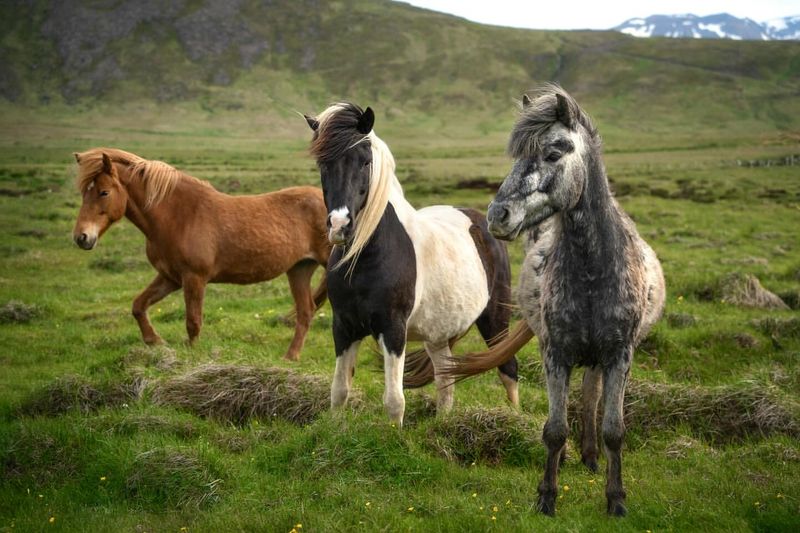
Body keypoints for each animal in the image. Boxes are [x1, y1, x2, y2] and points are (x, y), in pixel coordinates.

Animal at [71, 148, 328, 360]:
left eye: (104, 192)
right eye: (84, 192)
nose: (81, 237)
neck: (180, 216)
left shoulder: (194, 278)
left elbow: (193, 322)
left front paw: (194, 355)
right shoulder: (170, 277)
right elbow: (138, 306)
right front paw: (155, 341)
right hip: (299, 269)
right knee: (306, 312)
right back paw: (290, 357)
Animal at [304, 104, 520, 426]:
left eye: (365, 162)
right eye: (323, 164)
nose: (340, 226)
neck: (365, 257)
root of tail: (482, 222)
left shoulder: (393, 329)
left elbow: (394, 400)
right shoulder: (343, 326)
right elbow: (339, 391)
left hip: (495, 319)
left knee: (508, 369)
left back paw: (518, 420)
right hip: (438, 333)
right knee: (445, 379)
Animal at [446, 86, 664, 516]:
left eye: (552, 153)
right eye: (516, 155)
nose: (498, 215)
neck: (593, 273)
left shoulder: (619, 355)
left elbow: (615, 429)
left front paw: (616, 499)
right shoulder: (556, 352)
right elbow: (554, 428)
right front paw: (547, 495)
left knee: (592, 396)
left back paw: (592, 457)